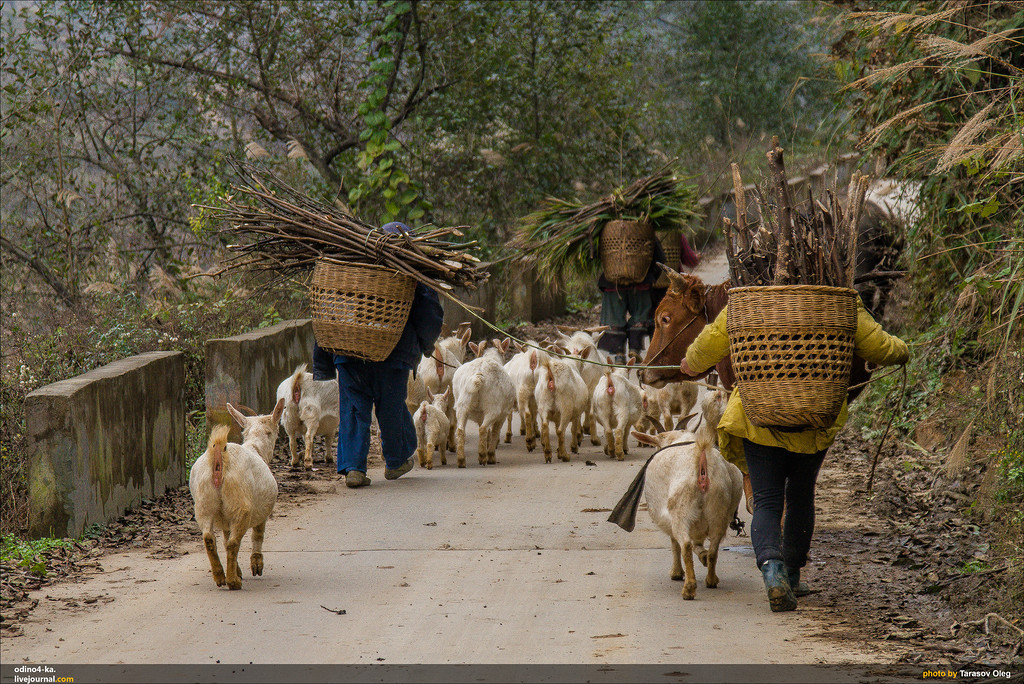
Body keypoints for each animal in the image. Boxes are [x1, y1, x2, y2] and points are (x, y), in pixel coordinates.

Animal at [189, 397, 282, 589]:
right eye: (273, 432)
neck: (255, 447)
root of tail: (219, 459)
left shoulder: (225, 518)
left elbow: (225, 538)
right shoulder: (262, 511)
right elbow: (257, 535)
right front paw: (256, 565)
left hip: (204, 501)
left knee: (210, 538)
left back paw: (220, 576)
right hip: (240, 502)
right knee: (234, 542)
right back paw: (233, 581)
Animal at [634, 423, 741, 602]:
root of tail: (702, 457)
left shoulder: (670, 517)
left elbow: (674, 543)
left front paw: (676, 573)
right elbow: (698, 543)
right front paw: (702, 556)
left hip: (681, 508)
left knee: (685, 544)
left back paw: (689, 589)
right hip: (719, 508)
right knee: (714, 548)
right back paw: (711, 579)